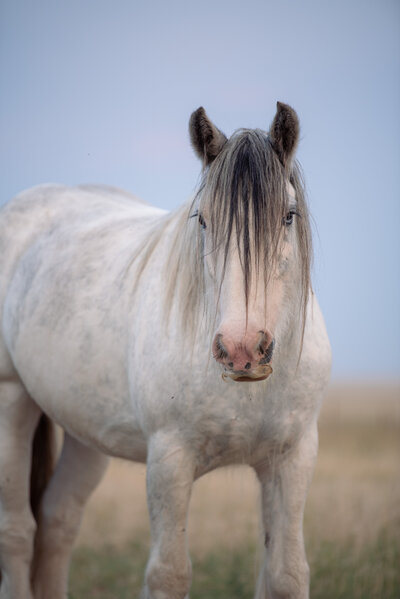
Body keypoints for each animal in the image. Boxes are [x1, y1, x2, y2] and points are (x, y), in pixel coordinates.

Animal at [0, 104, 332, 599]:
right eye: (203, 220)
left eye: (288, 216)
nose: (241, 348)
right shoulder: (169, 461)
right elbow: (169, 574)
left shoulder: (291, 459)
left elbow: (287, 575)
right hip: (12, 404)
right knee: (18, 532)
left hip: (86, 433)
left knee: (58, 523)